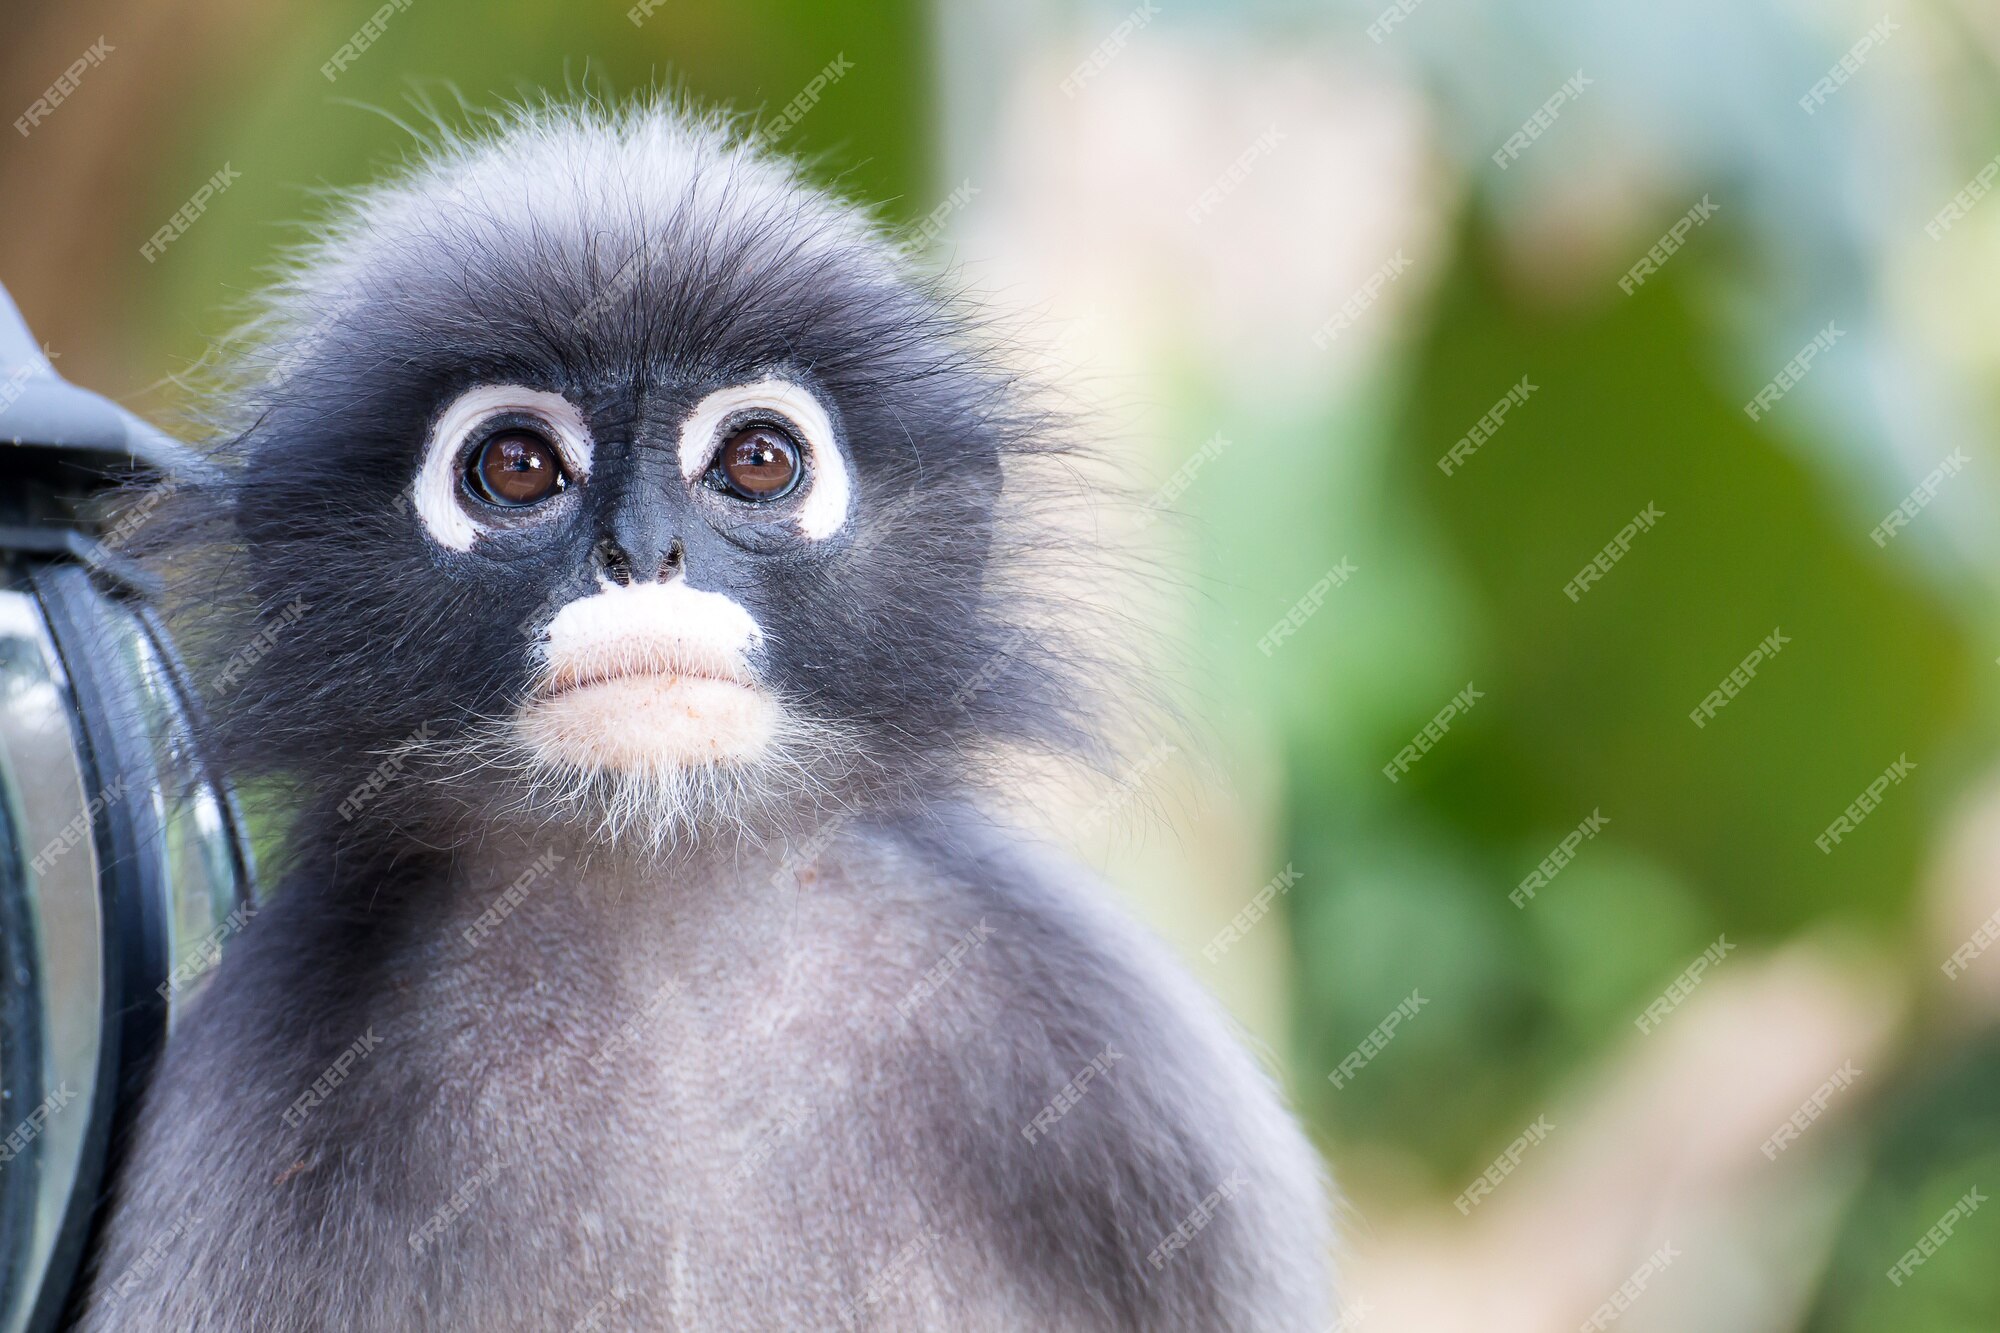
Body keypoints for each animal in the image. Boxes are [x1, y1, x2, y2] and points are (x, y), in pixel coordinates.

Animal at [78, 104, 1336, 1328]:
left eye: (759, 458)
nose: (642, 551)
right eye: (518, 465)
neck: (660, 935)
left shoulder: (1135, 1063)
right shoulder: (250, 1089)